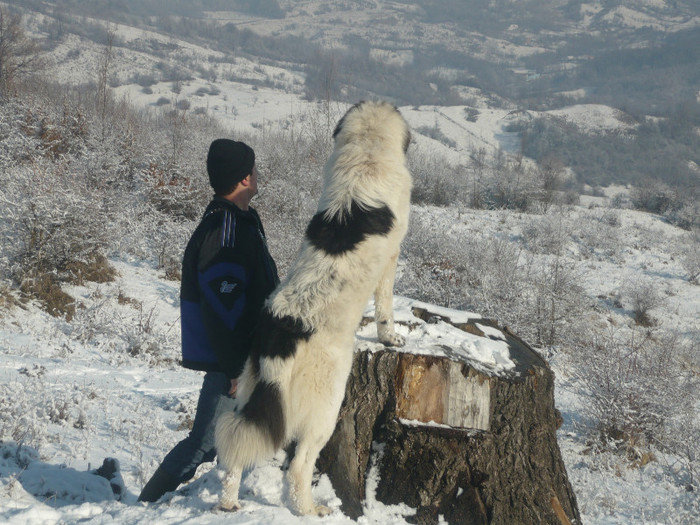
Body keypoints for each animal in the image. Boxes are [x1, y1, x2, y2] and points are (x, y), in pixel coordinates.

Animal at [213, 100, 410, 512]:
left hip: (251, 393)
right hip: (326, 408)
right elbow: (386, 305)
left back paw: (229, 503)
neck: (367, 151)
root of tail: (282, 335)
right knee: (299, 466)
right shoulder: (392, 256)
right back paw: (309, 510)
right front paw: (391, 338)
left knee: (236, 449)